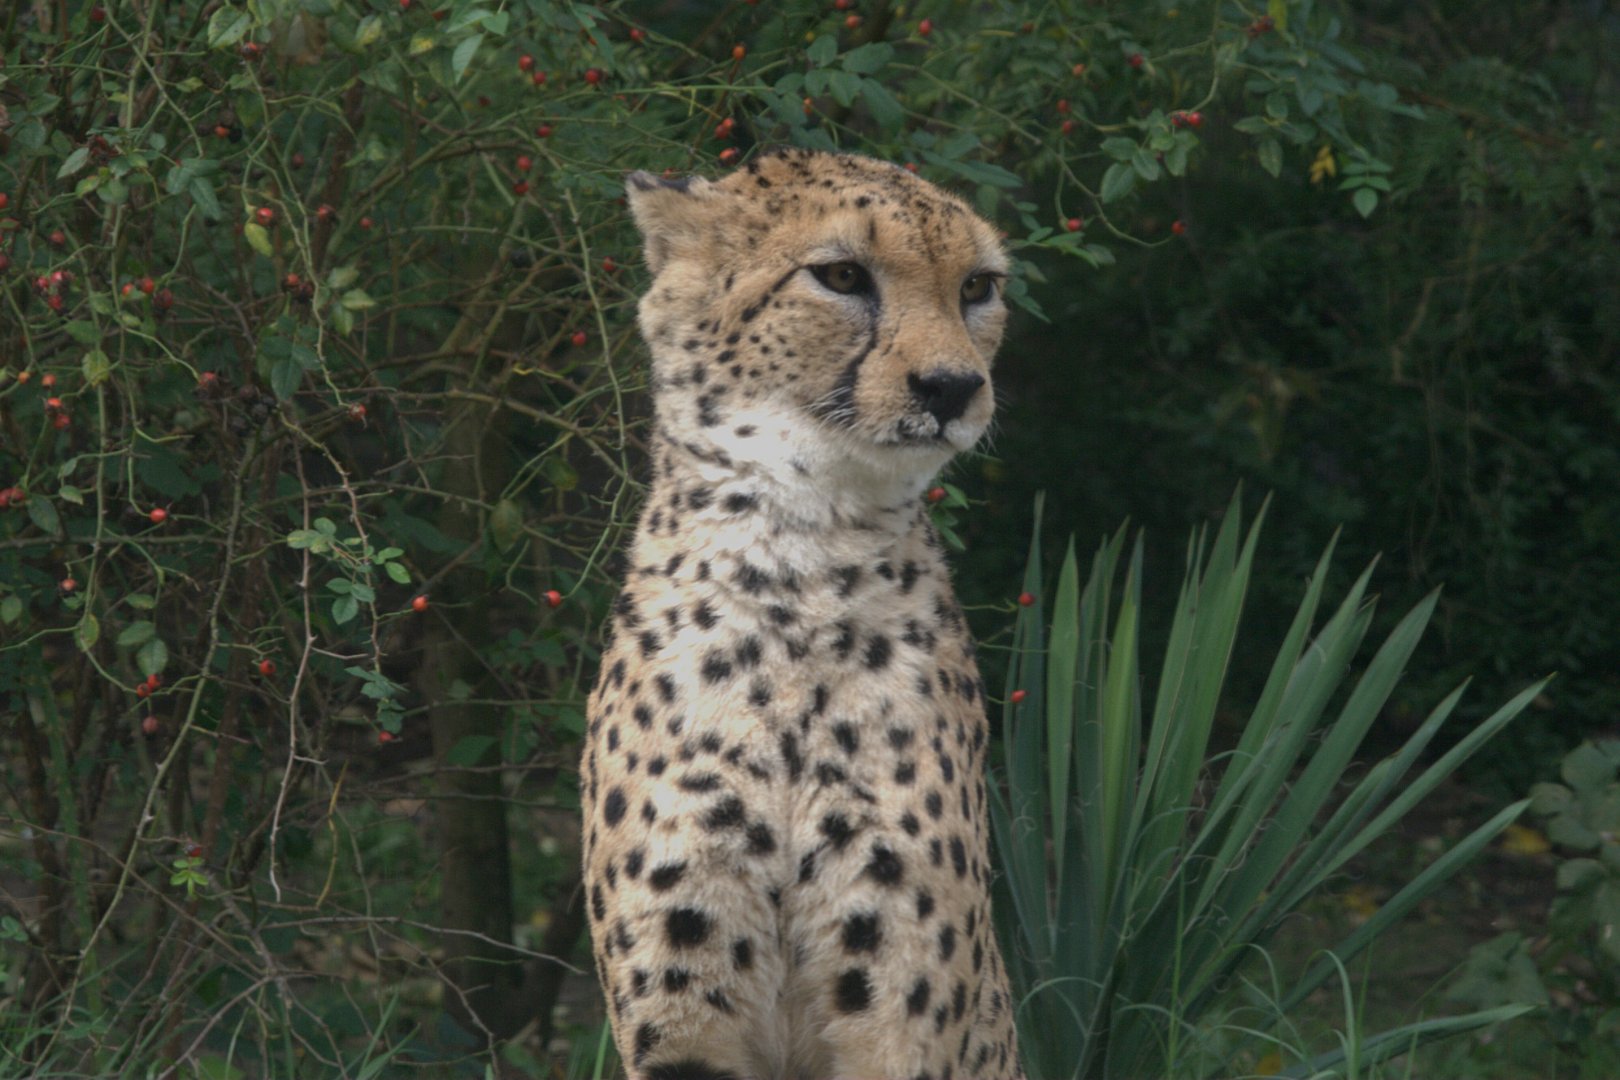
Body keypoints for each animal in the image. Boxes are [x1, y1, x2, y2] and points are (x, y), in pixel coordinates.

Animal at [580, 146, 1022, 1080]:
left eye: (977, 287)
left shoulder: (899, 1021)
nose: (953, 386)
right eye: (842, 275)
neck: (799, 559)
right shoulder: (681, 1025)